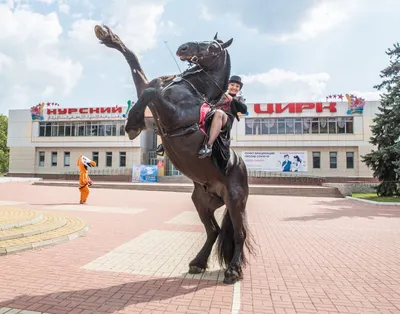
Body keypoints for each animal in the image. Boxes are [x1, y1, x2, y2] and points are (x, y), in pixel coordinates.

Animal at [94, 25, 253, 284]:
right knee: (214, 231)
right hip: (203, 201)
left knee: (239, 234)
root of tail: (240, 167)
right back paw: (198, 263)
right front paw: (109, 37)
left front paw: (133, 125)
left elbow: (150, 91)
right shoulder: (153, 96)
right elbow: (138, 68)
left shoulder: (172, 114)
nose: (184, 48)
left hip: (235, 201)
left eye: (214, 47)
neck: (194, 89)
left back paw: (233, 270)